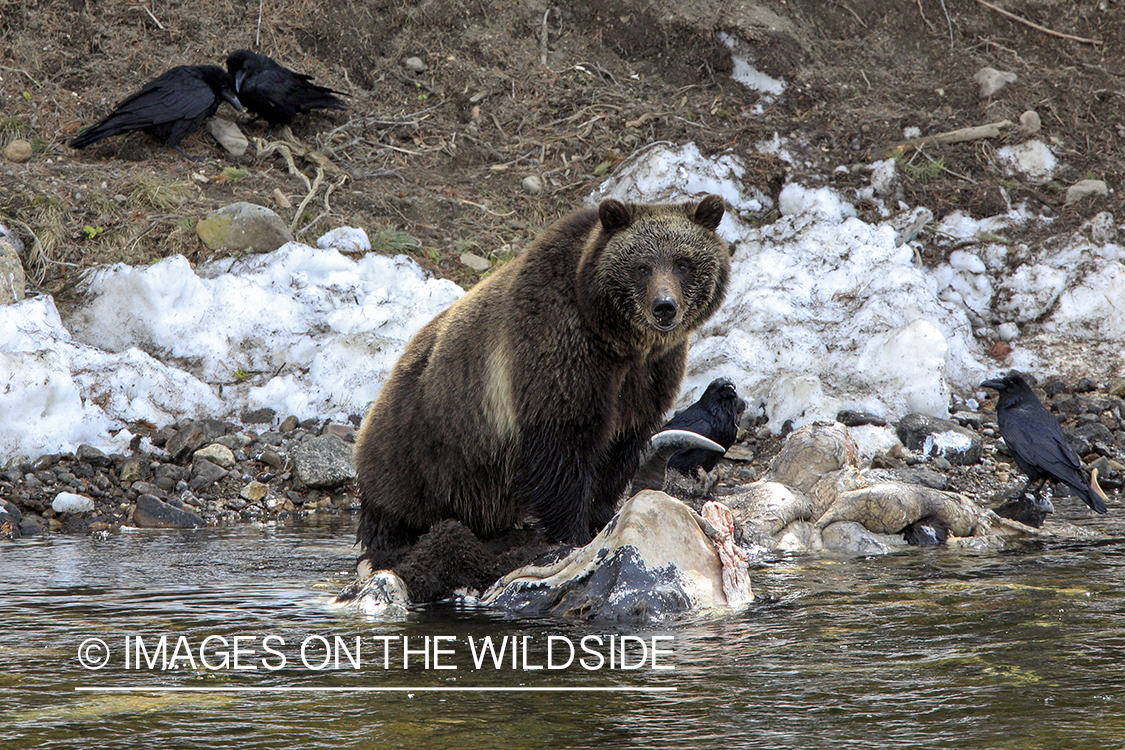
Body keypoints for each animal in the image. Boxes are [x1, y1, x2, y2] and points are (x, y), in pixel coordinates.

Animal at [355, 193, 733, 568]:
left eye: (683, 263)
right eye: (642, 266)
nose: (664, 306)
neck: (617, 341)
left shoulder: (648, 377)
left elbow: (618, 450)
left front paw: (601, 516)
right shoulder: (560, 355)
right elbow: (562, 451)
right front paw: (573, 532)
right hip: (424, 445)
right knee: (396, 503)